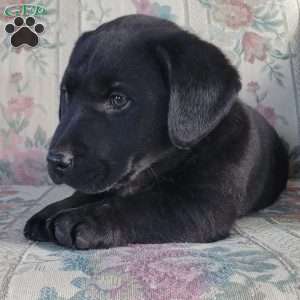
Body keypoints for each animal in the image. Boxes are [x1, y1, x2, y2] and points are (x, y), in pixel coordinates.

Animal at [24, 14, 288, 248]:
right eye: (67, 93)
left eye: (118, 99)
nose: (55, 161)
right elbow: (88, 193)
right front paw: (53, 210)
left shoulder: (202, 205)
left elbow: (142, 206)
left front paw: (82, 218)